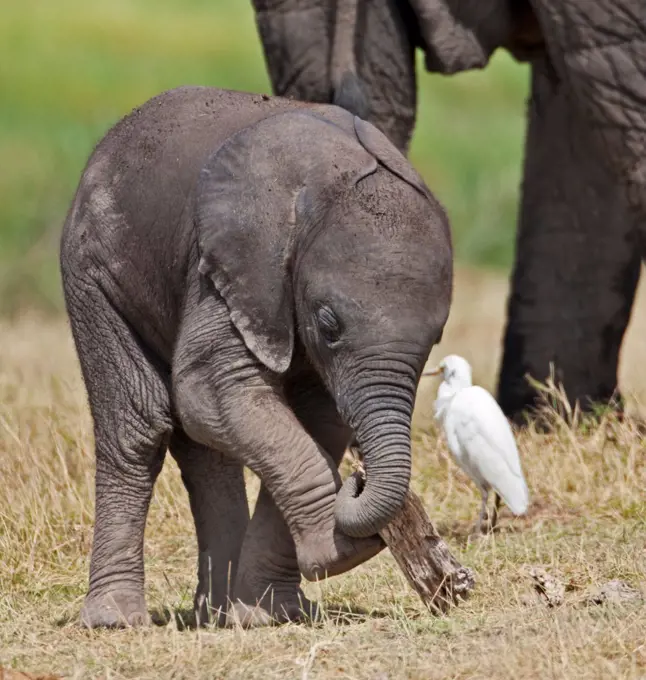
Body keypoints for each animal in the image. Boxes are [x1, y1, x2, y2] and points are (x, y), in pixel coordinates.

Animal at [62, 87, 456, 628]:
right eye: (329, 325)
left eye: (437, 337)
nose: (357, 482)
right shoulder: (233, 267)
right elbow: (211, 389)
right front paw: (348, 552)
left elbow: (316, 419)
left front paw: (273, 615)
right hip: (94, 274)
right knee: (138, 426)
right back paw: (116, 620)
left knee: (205, 451)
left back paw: (216, 613)